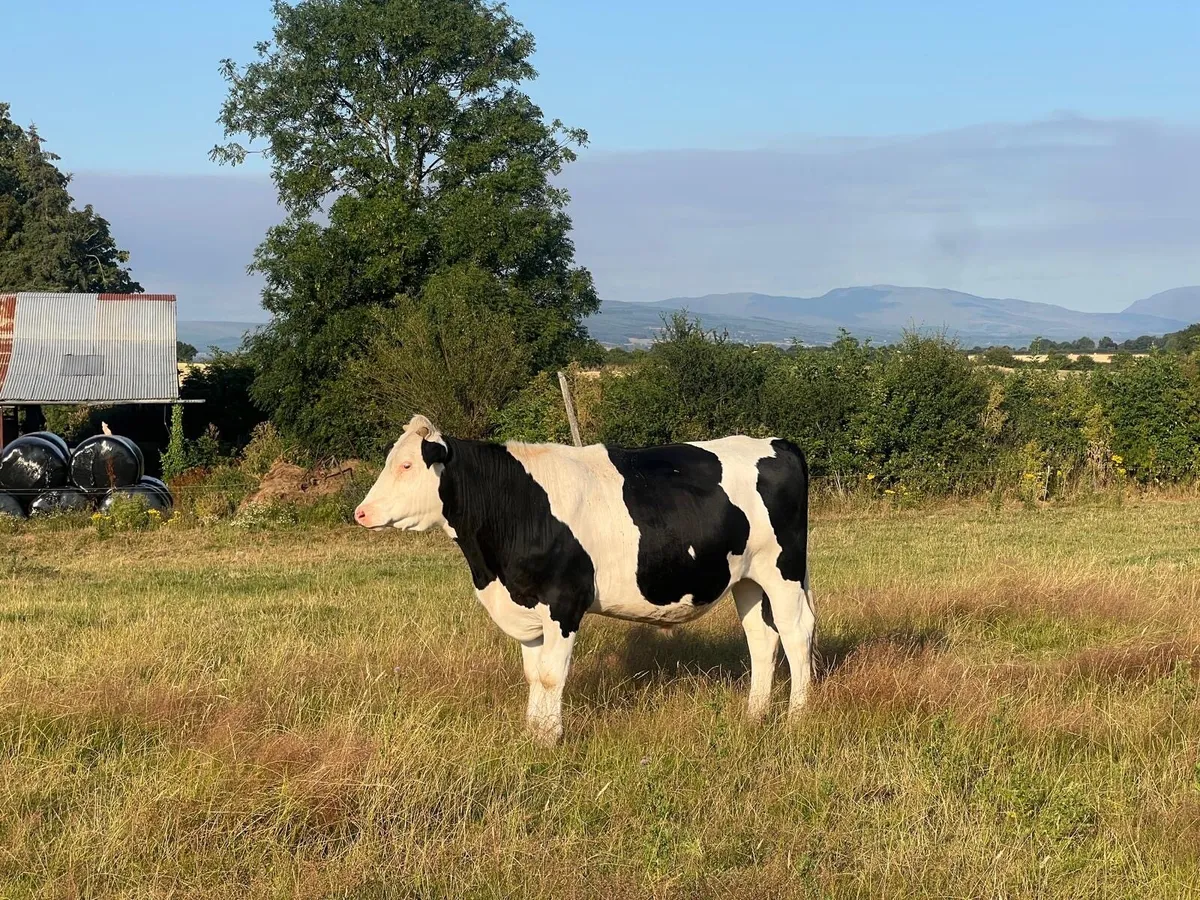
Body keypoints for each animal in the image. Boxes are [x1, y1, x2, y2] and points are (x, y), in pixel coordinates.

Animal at [355, 414, 813, 746]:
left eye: (407, 464)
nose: (361, 512)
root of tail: (777, 443)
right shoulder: (525, 603)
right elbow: (533, 673)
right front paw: (534, 733)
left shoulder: (564, 601)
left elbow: (551, 674)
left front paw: (551, 738)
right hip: (746, 578)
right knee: (761, 636)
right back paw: (755, 715)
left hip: (782, 569)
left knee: (795, 631)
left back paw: (797, 717)